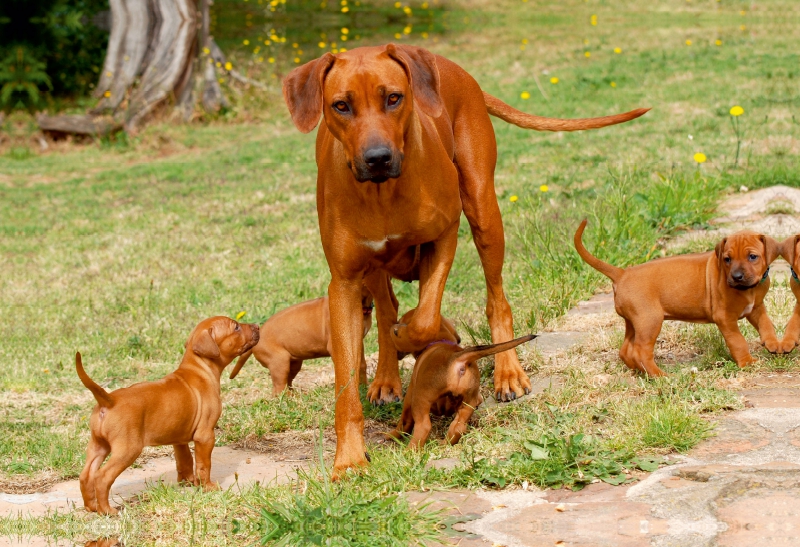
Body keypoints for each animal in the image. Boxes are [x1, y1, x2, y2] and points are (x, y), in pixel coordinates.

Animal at [76, 314, 258, 516]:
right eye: (236, 327)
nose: (258, 326)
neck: (200, 369)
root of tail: (108, 400)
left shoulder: (179, 439)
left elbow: (185, 461)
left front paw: (188, 482)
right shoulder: (205, 436)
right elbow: (203, 465)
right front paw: (207, 487)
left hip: (98, 445)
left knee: (86, 475)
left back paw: (92, 507)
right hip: (127, 449)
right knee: (102, 477)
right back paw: (107, 511)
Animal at [227, 288, 374, 396]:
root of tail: (257, 335)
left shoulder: (358, 342)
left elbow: (361, 365)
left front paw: (364, 387)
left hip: (293, 364)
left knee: (287, 383)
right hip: (279, 363)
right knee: (278, 390)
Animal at [390, 332, 536, 452]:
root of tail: (458, 358)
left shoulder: (410, 397)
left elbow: (404, 421)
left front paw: (391, 435)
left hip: (421, 400)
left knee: (424, 427)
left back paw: (409, 452)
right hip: (468, 402)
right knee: (458, 428)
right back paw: (444, 444)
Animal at [576, 219, 780, 376]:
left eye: (753, 257)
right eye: (727, 259)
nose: (736, 277)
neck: (749, 289)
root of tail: (622, 274)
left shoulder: (756, 308)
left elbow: (766, 324)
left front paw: (773, 343)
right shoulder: (725, 318)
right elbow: (738, 341)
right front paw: (747, 362)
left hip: (634, 321)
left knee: (626, 350)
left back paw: (641, 372)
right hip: (650, 320)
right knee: (640, 351)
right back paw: (659, 375)